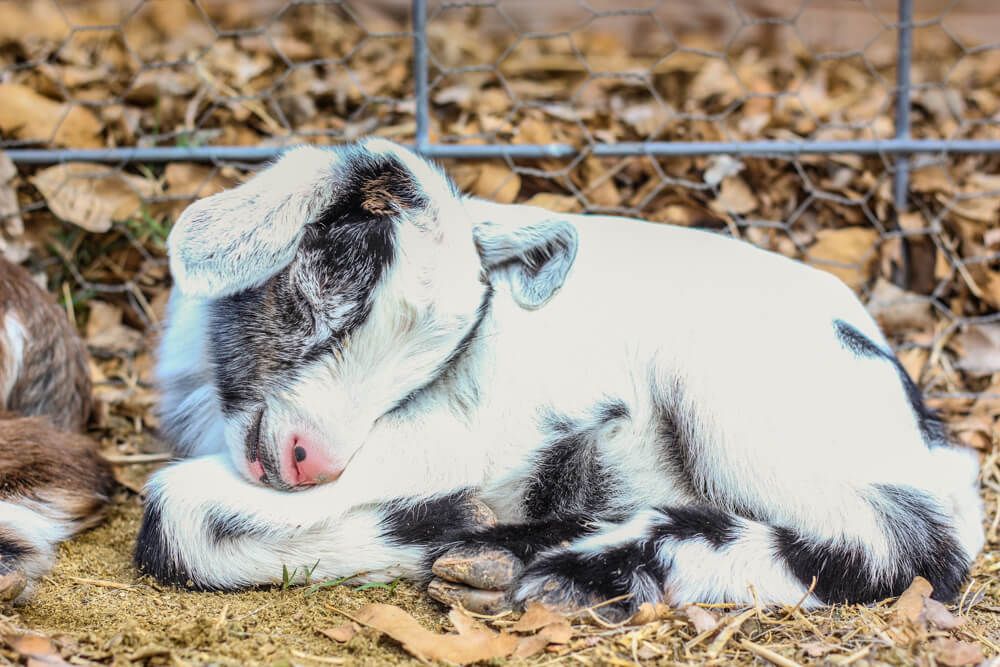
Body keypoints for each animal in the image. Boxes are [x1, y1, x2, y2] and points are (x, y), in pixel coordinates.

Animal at [135, 138, 984, 620]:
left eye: (430, 365)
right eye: (333, 290)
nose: (313, 460)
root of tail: (926, 440)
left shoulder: (453, 437)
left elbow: (173, 516)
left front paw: (442, 518)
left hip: (738, 405)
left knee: (906, 548)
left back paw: (578, 564)